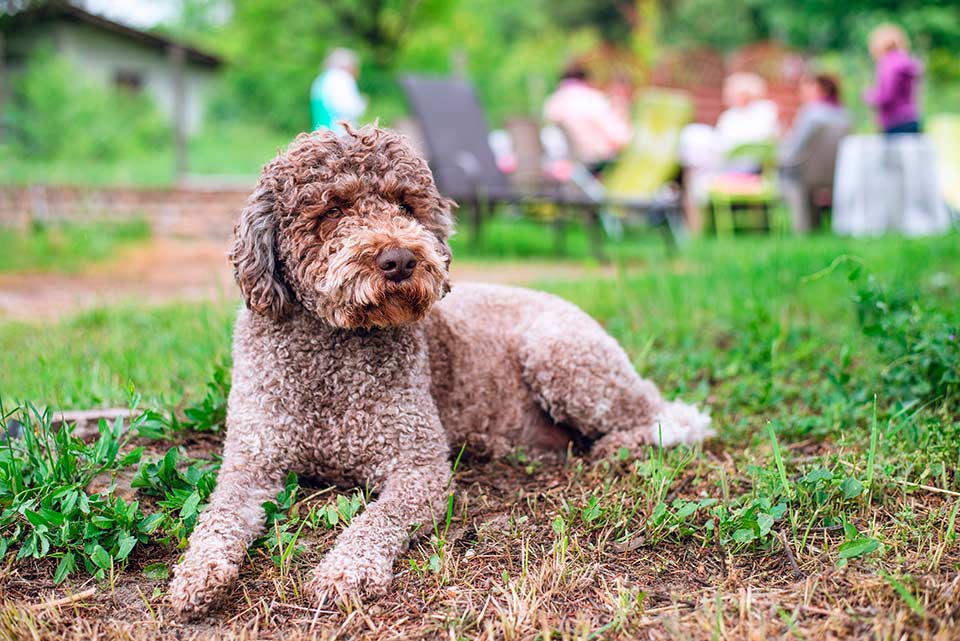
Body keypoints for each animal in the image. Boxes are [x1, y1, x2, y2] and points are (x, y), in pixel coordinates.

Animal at [167, 124, 712, 616]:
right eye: (333, 209)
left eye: (406, 205)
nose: (399, 258)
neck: (333, 348)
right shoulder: (252, 461)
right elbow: (218, 516)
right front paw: (196, 575)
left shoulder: (419, 467)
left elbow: (377, 518)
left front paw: (345, 571)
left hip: (561, 357)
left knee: (672, 415)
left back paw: (618, 445)